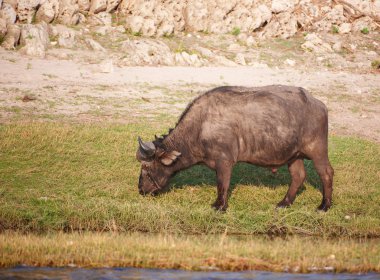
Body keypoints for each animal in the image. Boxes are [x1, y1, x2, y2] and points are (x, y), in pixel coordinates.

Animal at [135, 85, 334, 210]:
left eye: (146, 167)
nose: (141, 190)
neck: (200, 126)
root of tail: (319, 104)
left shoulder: (224, 161)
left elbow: (222, 184)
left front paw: (219, 206)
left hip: (317, 150)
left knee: (326, 173)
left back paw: (324, 205)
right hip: (294, 155)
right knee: (298, 176)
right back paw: (284, 203)